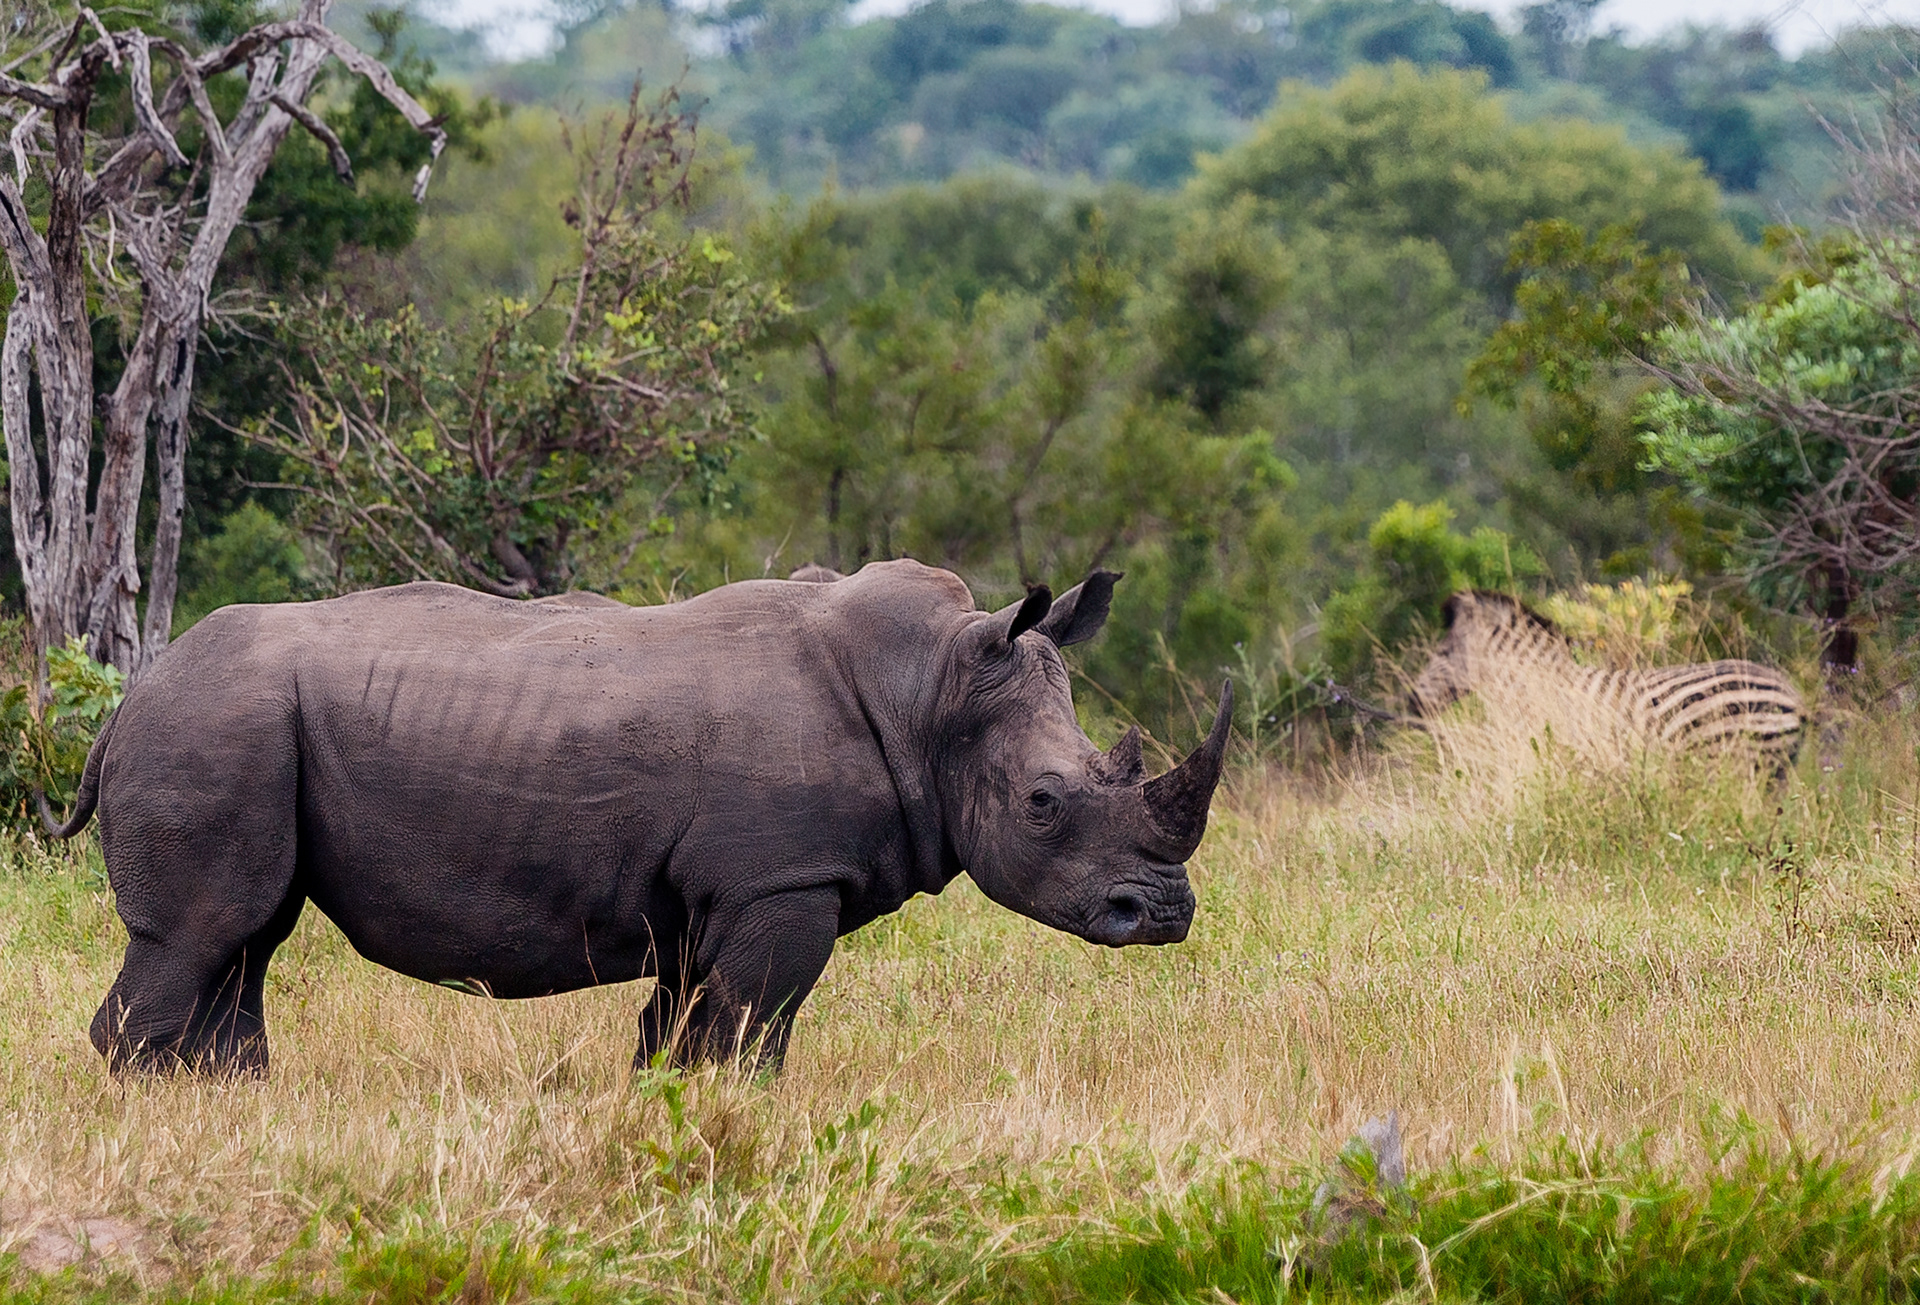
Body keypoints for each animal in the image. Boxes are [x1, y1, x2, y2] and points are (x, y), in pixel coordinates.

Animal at [47, 560, 1232, 1075]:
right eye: (1044, 803)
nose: (1163, 914)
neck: (929, 687)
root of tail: (124, 705)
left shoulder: (718, 891)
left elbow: (683, 1027)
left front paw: (670, 1108)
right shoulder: (781, 879)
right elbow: (752, 1030)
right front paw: (737, 1118)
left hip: (238, 730)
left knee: (248, 936)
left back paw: (230, 1097)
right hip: (215, 727)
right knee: (203, 932)